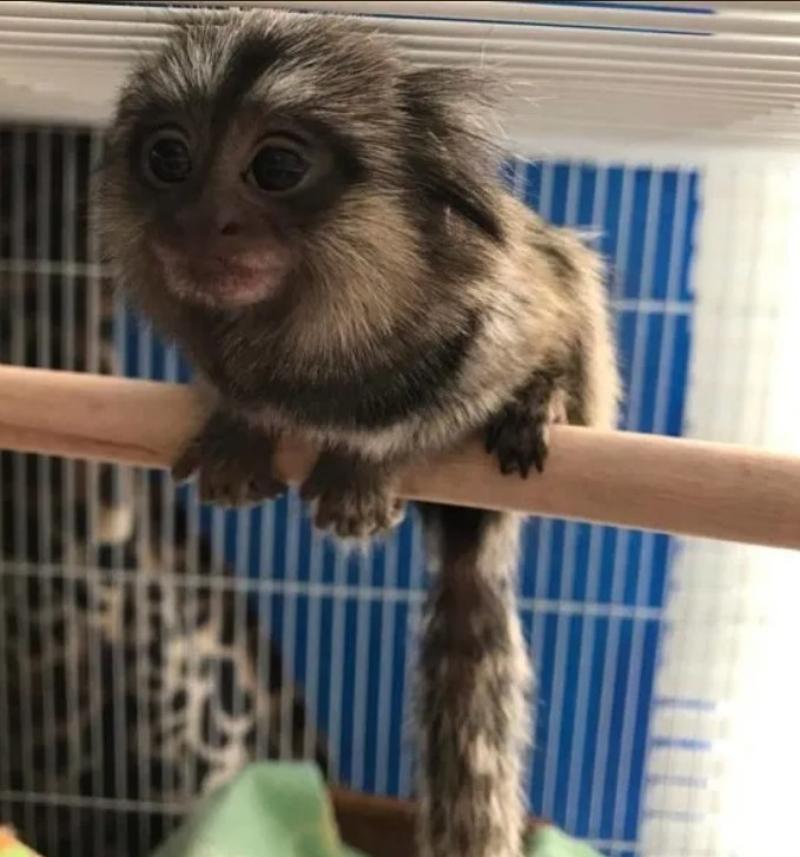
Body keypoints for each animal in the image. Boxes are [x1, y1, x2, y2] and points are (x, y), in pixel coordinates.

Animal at [97, 10, 620, 857]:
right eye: (168, 157)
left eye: (276, 166)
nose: (199, 221)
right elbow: (236, 399)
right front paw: (241, 429)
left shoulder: (502, 305)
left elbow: (472, 383)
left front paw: (367, 465)